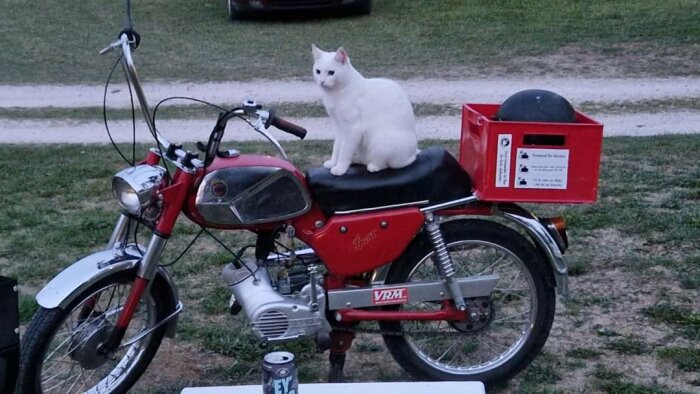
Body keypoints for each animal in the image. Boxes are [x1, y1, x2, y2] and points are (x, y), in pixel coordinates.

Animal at [314, 43, 422, 176]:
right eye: (318, 71)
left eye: (331, 72)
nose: (322, 81)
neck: (335, 93)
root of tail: (414, 153)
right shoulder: (339, 127)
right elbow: (337, 147)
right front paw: (333, 162)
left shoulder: (352, 129)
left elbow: (344, 151)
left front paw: (340, 168)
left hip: (380, 140)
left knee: (387, 164)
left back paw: (373, 166)